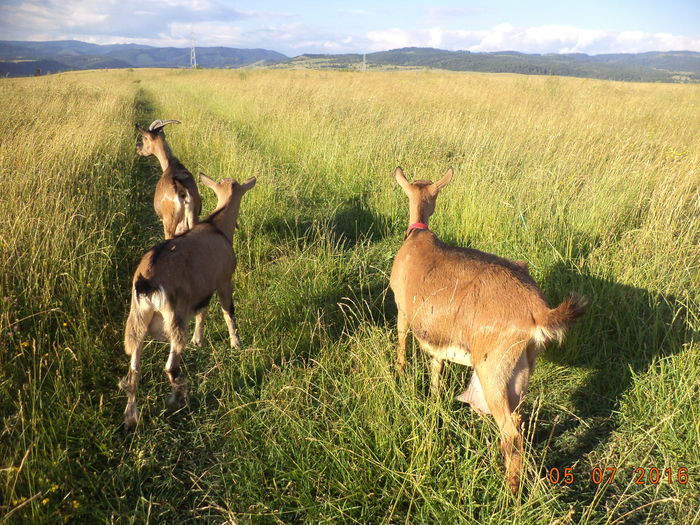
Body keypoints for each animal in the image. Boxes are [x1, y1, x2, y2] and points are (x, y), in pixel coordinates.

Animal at [121, 173, 258, 430]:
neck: (217, 228)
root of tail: (146, 282)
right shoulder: (223, 281)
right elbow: (228, 311)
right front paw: (236, 343)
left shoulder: (202, 289)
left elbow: (202, 312)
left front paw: (198, 340)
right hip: (174, 316)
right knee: (171, 366)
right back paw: (178, 399)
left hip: (137, 319)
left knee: (134, 369)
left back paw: (130, 418)